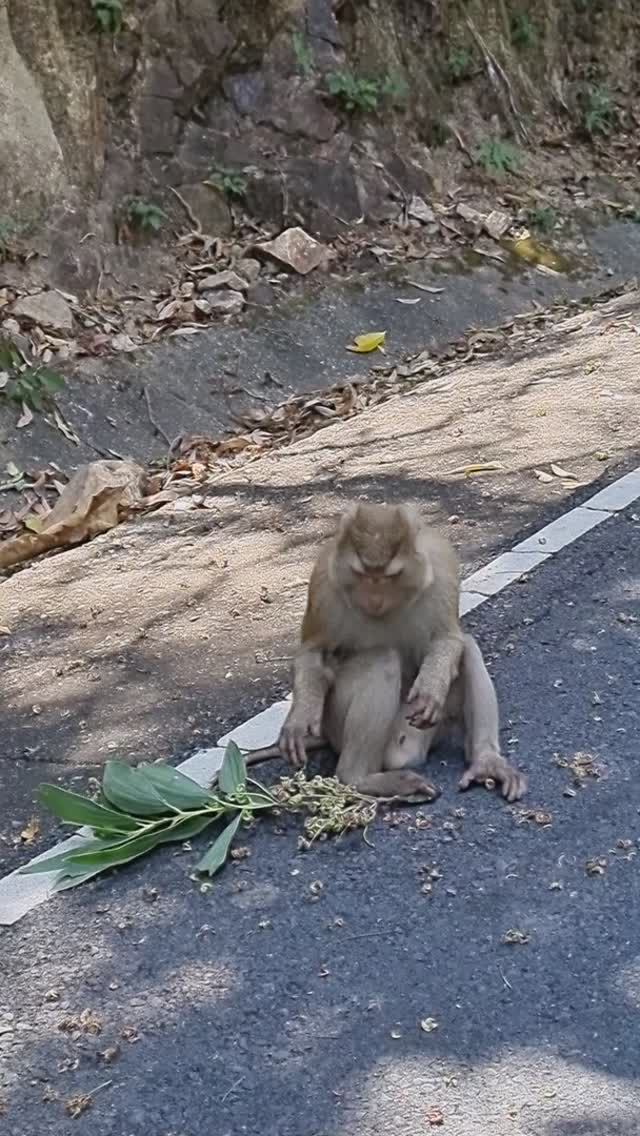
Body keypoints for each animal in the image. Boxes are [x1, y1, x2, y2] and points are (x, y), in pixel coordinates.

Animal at [245, 502, 525, 804]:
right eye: (363, 575)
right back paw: (361, 779)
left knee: (468, 649)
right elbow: (313, 651)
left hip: (426, 731)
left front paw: (431, 687)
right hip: (340, 728)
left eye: (390, 576)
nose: (375, 599)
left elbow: (449, 638)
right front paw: (301, 717)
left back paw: (486, 762)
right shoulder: (323, 581)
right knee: (382, 660)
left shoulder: (443, 567)